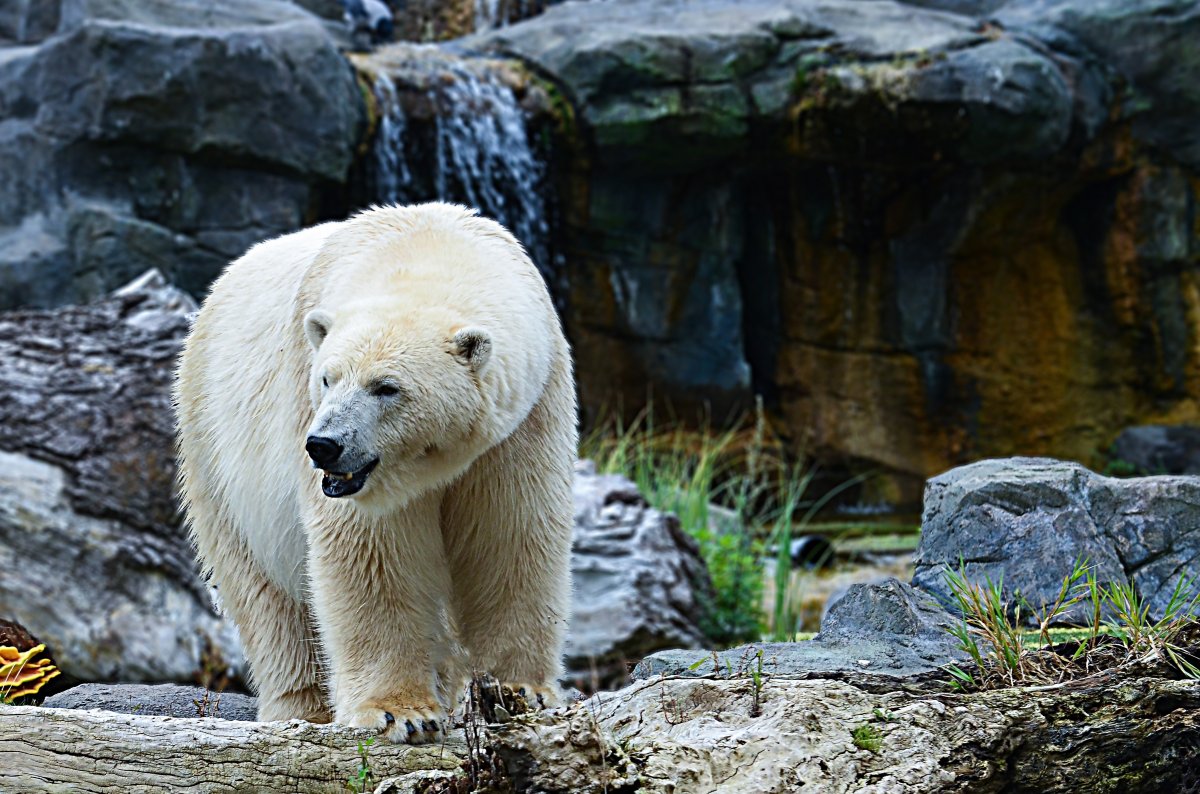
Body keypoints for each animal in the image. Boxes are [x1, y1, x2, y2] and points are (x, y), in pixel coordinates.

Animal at [172, 205, 576, 748]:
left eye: (386, 387)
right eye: (327, 378)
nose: (323, 445)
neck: (425, 246)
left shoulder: (527, 413)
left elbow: (509, 532)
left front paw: (521, 691)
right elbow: (372, 551)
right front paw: (398, 712)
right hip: (213, 441)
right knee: (263, 590)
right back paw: (303, 707)